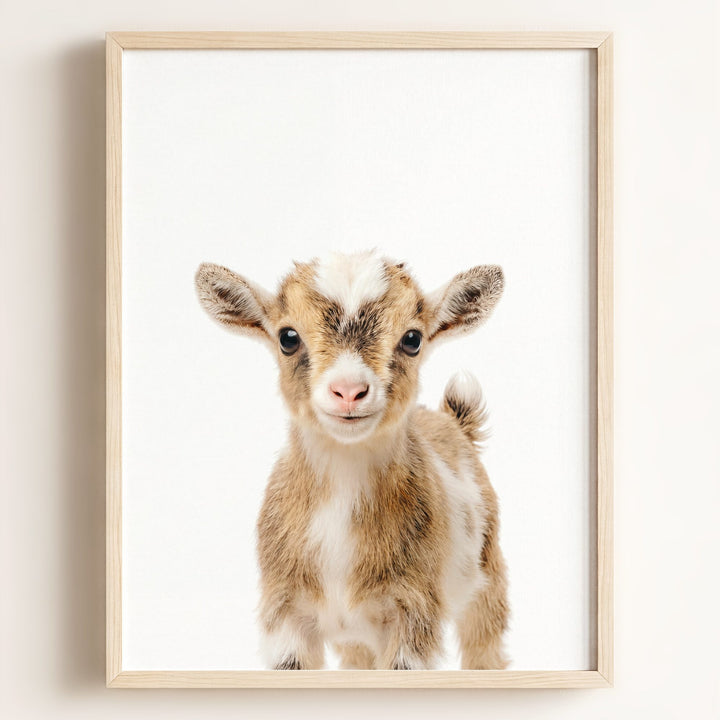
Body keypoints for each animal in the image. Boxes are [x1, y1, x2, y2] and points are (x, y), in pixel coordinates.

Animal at [195, 251, 509, 670]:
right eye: (288, 337)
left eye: (412, 339)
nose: (348, 391)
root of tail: (453, 420)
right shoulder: (285, 614)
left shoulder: (413, 611)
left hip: (488, 577)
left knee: (485, 645)